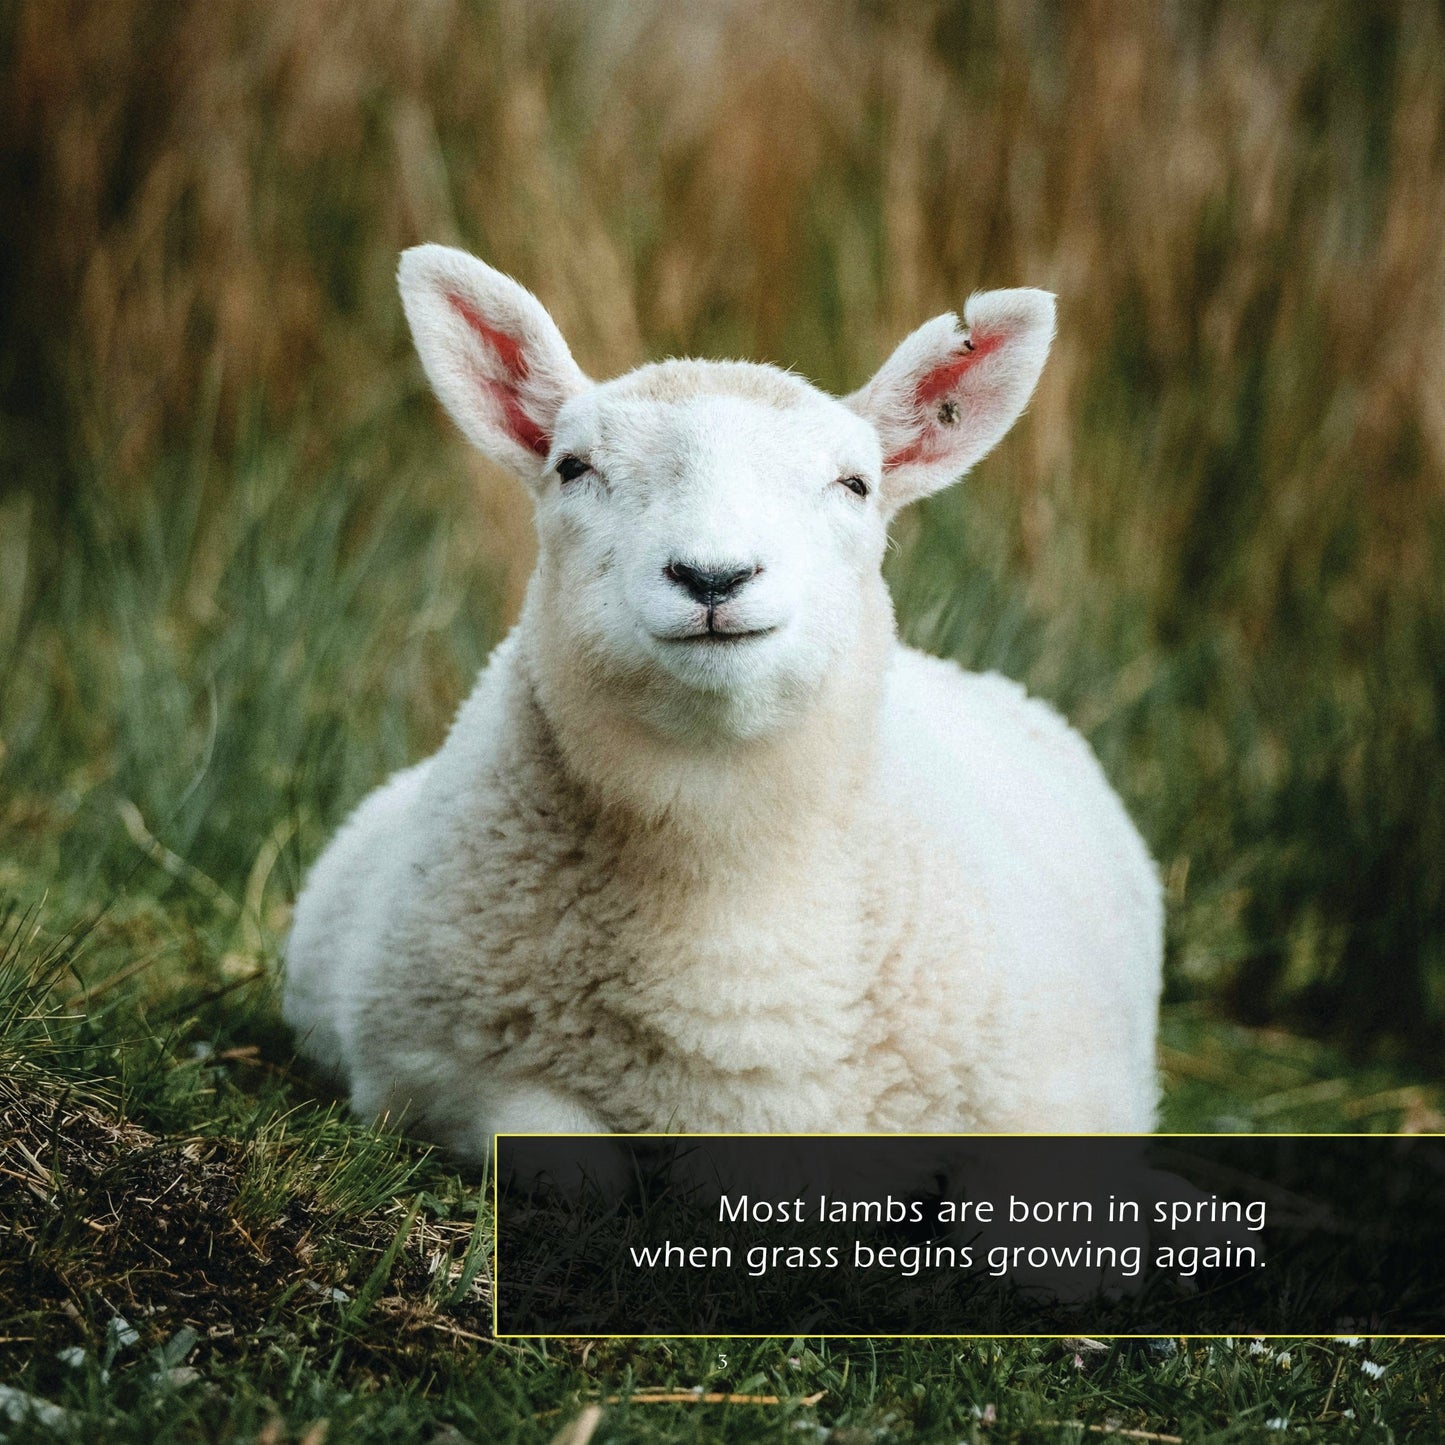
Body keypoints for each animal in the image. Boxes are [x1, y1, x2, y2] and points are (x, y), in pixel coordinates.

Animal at [282, 243, 1163, 1164]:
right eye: (573, 467)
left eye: (855, 484)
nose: (713, 574)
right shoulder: (432, 1072)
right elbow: (564, 1152)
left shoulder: (1058, 1107)